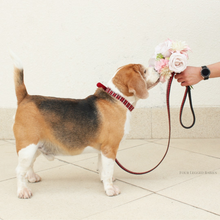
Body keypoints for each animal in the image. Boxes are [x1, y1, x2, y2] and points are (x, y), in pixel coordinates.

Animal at [10, 52, 160, 199]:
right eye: (144, 71)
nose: (157, 70)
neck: (118, 99)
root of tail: (25, 97)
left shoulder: (102, 150)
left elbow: (102, 169)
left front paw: (105, 181)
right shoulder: (109, 149)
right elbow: (108, 171)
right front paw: (110, 189)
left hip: (35, 146)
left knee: (28, 166)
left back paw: (31, 177)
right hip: (28, 147)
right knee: (19, 170)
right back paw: (23, 190)